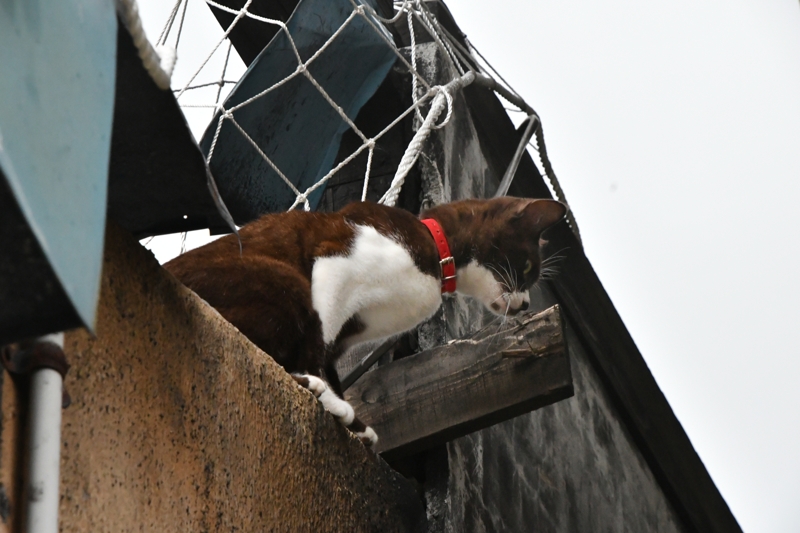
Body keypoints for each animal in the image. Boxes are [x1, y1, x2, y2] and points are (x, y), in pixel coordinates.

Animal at [164, 196, 566, 446]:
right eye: (527, 267)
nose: (525, 304)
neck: (437, 254)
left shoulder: (349, 330)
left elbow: (331, 361)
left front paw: (354, 424)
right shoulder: (335, 260)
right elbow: (317, 346)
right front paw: (334, 403)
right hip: (285, 280)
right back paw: (314, 389)